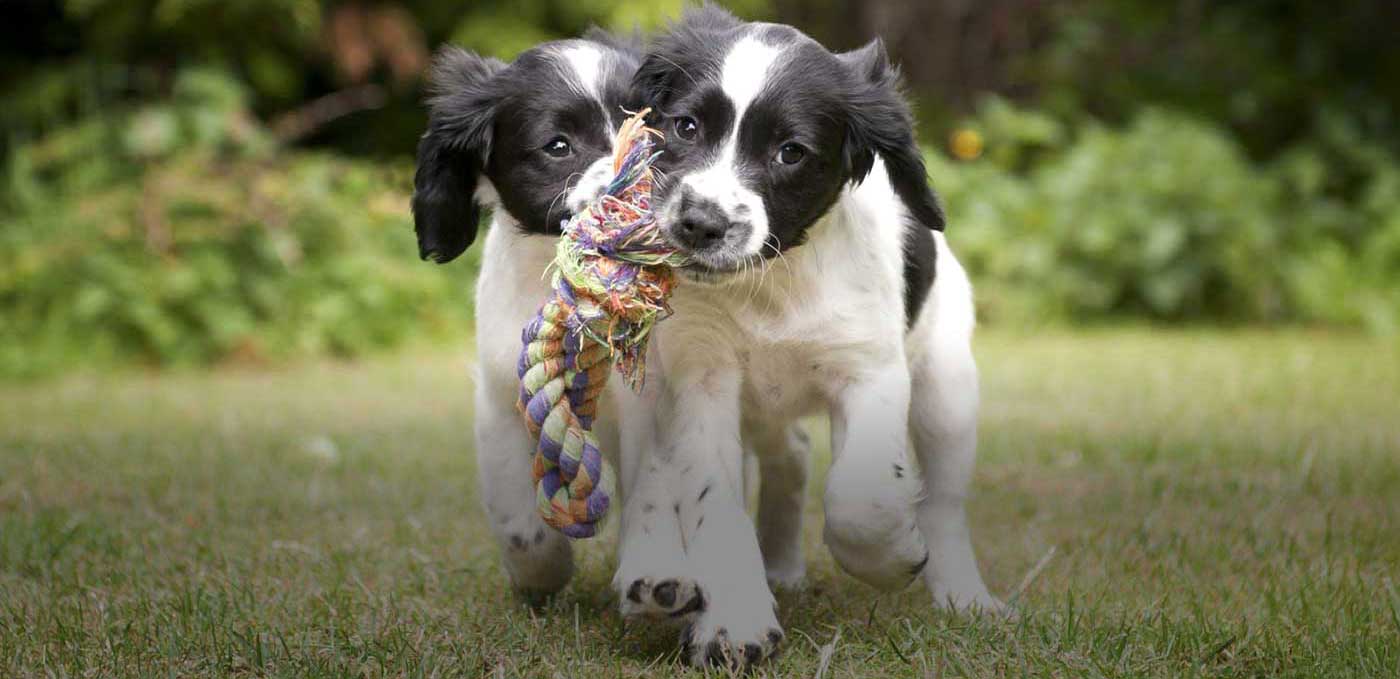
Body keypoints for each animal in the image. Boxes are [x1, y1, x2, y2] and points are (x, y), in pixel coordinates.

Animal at [610, 5, 996, 669]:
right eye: (685, 126)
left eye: (791, 152)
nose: (700, 225)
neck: (774, 281)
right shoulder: (701, 376)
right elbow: (714, 502)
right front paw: (735, 623)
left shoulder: (870, 370)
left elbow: (860, 499)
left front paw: (894, 555)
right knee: (772, 457)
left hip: (946, 387)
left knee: (944, 502)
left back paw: (964, 596)